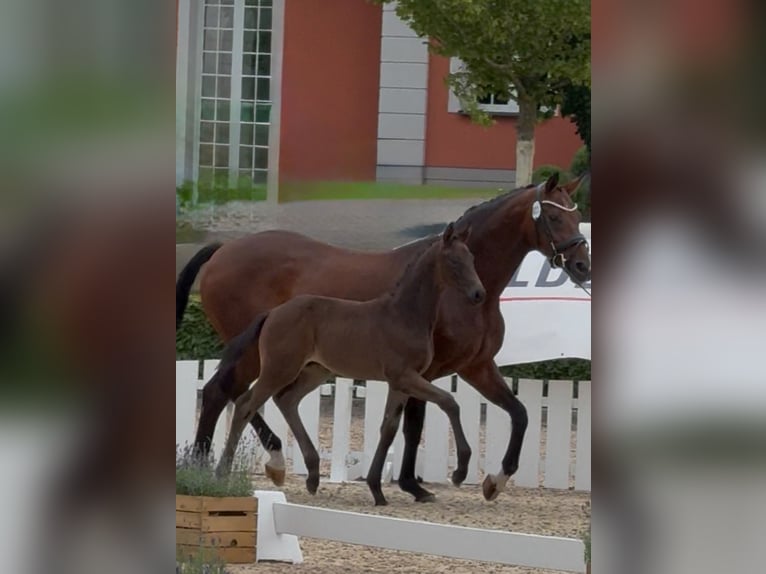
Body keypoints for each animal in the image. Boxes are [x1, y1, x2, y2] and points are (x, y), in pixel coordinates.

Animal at [213, 223, 485, 496]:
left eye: (472, 259)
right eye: (454, 261)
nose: (479, 294)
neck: (405, 315)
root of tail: (272, 313)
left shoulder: (400, 383)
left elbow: (388, 427)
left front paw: (377, 490)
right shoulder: (405, 376)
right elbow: (449, 402)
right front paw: (460, 471)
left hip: (314, 371)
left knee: (286, 400)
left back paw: (312, 476)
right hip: (279, 369)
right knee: (246, 404)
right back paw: (223, 471)